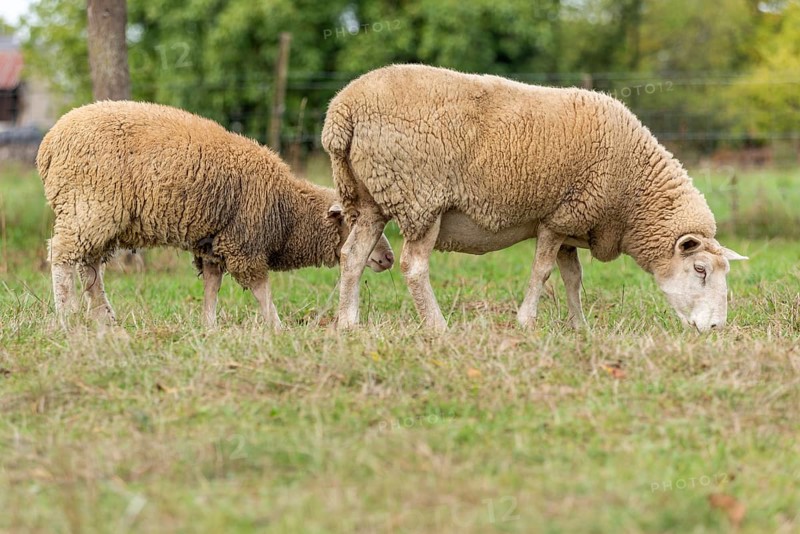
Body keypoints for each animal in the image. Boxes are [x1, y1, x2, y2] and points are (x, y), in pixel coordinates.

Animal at [37, 100, 395, 329]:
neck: (287, 213)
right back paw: (66, 319)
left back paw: (104, 321)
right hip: (88, 207)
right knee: (62, 258)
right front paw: (277, 327)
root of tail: (48, 145)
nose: (389, 258)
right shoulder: (244, 243)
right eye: (353, 221)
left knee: (90, 269)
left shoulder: (213, 245)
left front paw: (208, 328)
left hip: (91, 215)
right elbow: (261, 288)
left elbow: (211, 287)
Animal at [322, 64, 746, 333]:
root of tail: (342, 112)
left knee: (353, 256)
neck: (633, 193)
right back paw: (437, 326)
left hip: (371, 200)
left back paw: (348, 323)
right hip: (421, 200)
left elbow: (573, 278)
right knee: (413, 266)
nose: (715, 327)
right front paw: (526, 322)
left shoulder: (573, 223)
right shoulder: (559, 218)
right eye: (700, 270)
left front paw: (580, 327)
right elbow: (542, 272)